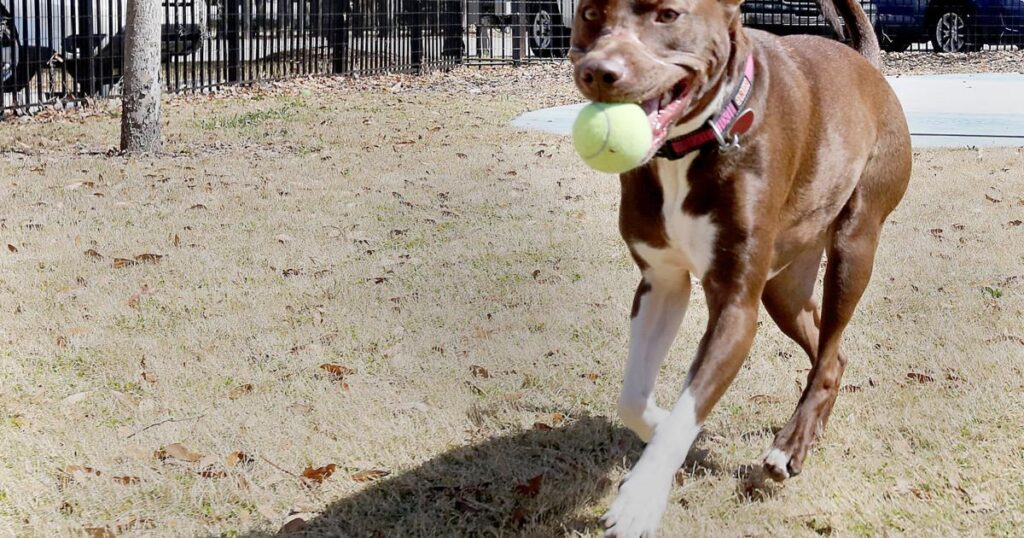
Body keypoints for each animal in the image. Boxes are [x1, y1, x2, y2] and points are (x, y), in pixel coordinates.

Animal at [568, 0, 912, 534]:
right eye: (588, 13)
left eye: (668, 15)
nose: (600, 73)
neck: (691, 146)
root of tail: (868, 66)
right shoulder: (661, 282)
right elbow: (633, 399)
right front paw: (658, 429)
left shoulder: (734, 305)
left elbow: (690, 405)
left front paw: (641, 498)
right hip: (783, 287)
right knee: (831, 357)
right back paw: (806, 436)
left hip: (855, 243)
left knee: (829, 347)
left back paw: (789, 446)